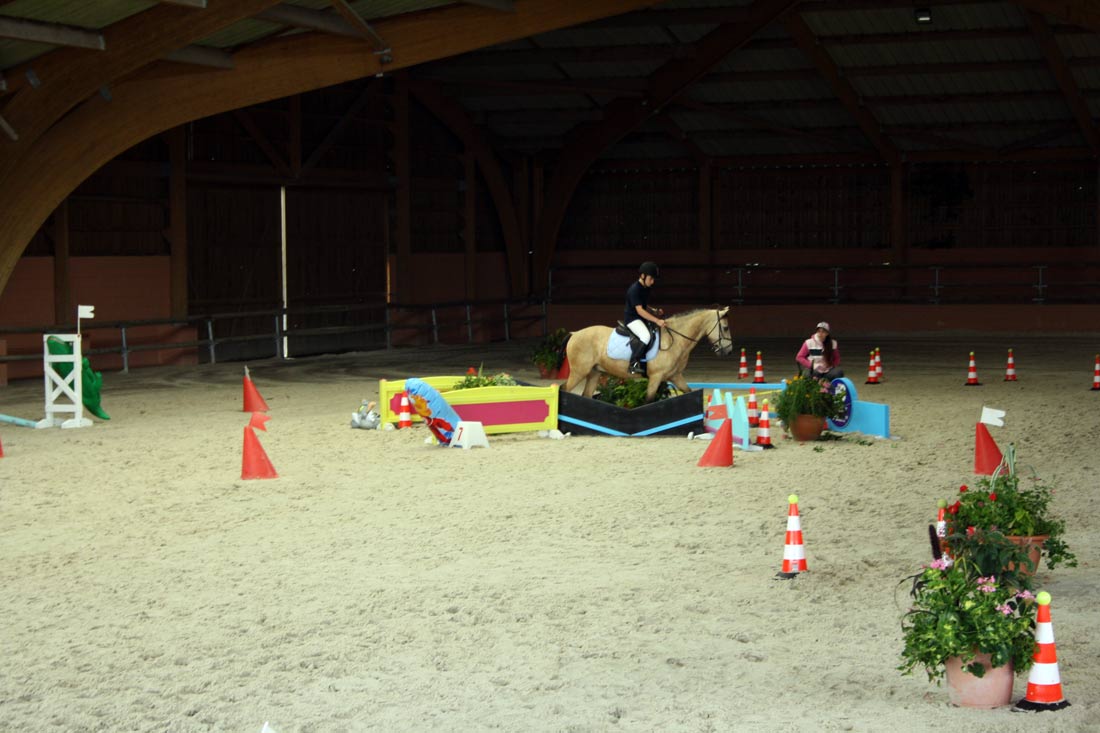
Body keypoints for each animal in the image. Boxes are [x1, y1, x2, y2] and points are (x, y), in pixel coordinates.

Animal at [563, 305, 734, 402]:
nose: (729, 351)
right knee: (565, 389)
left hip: (594, 372)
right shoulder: (655, 377)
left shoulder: (676, 376)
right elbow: (649, 400)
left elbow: (688, 391)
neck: (675, 339)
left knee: (586, 395)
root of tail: (574, 333)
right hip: (579, 372)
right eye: (725, 328)